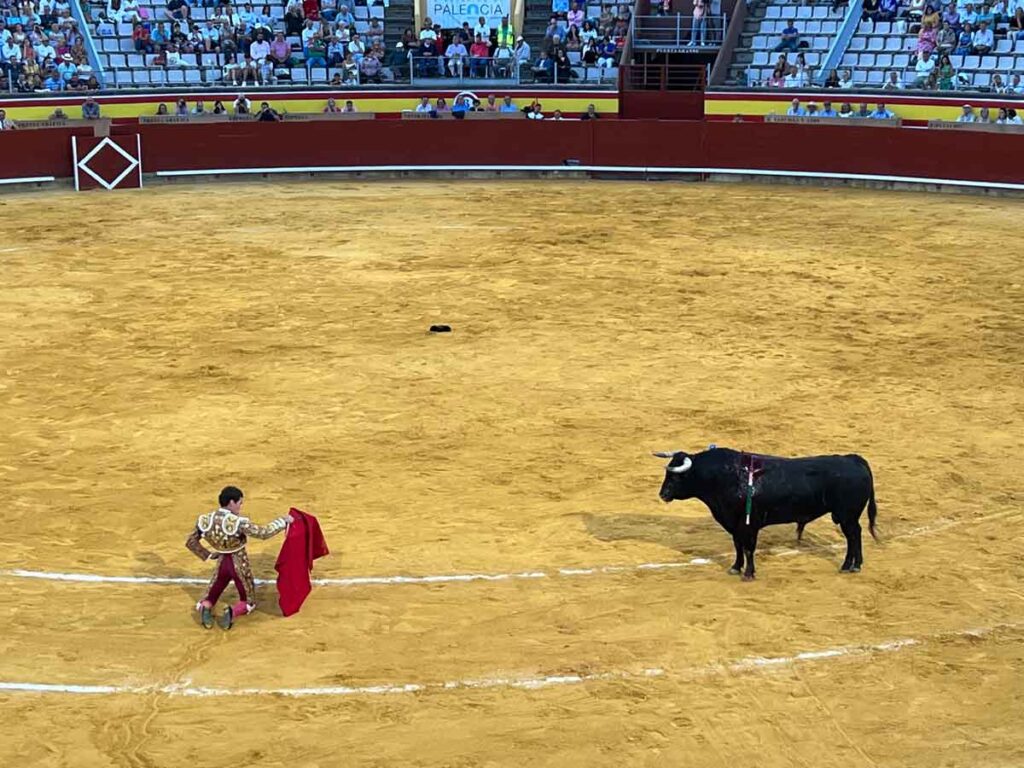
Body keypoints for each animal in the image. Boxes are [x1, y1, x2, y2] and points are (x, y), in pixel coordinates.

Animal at [655, 448, 880, 581]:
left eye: (677, 477)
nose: (663, 494)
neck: (724, 477)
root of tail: (854, 459)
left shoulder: (749, 524)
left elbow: (748, 548)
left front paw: (748, 573)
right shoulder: (734, 525)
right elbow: (738, 547)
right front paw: (735, 568)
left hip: (847, 516)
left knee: (853, 535)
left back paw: (850, 566)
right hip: (846, 516)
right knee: (855, 535)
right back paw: (853, 565)